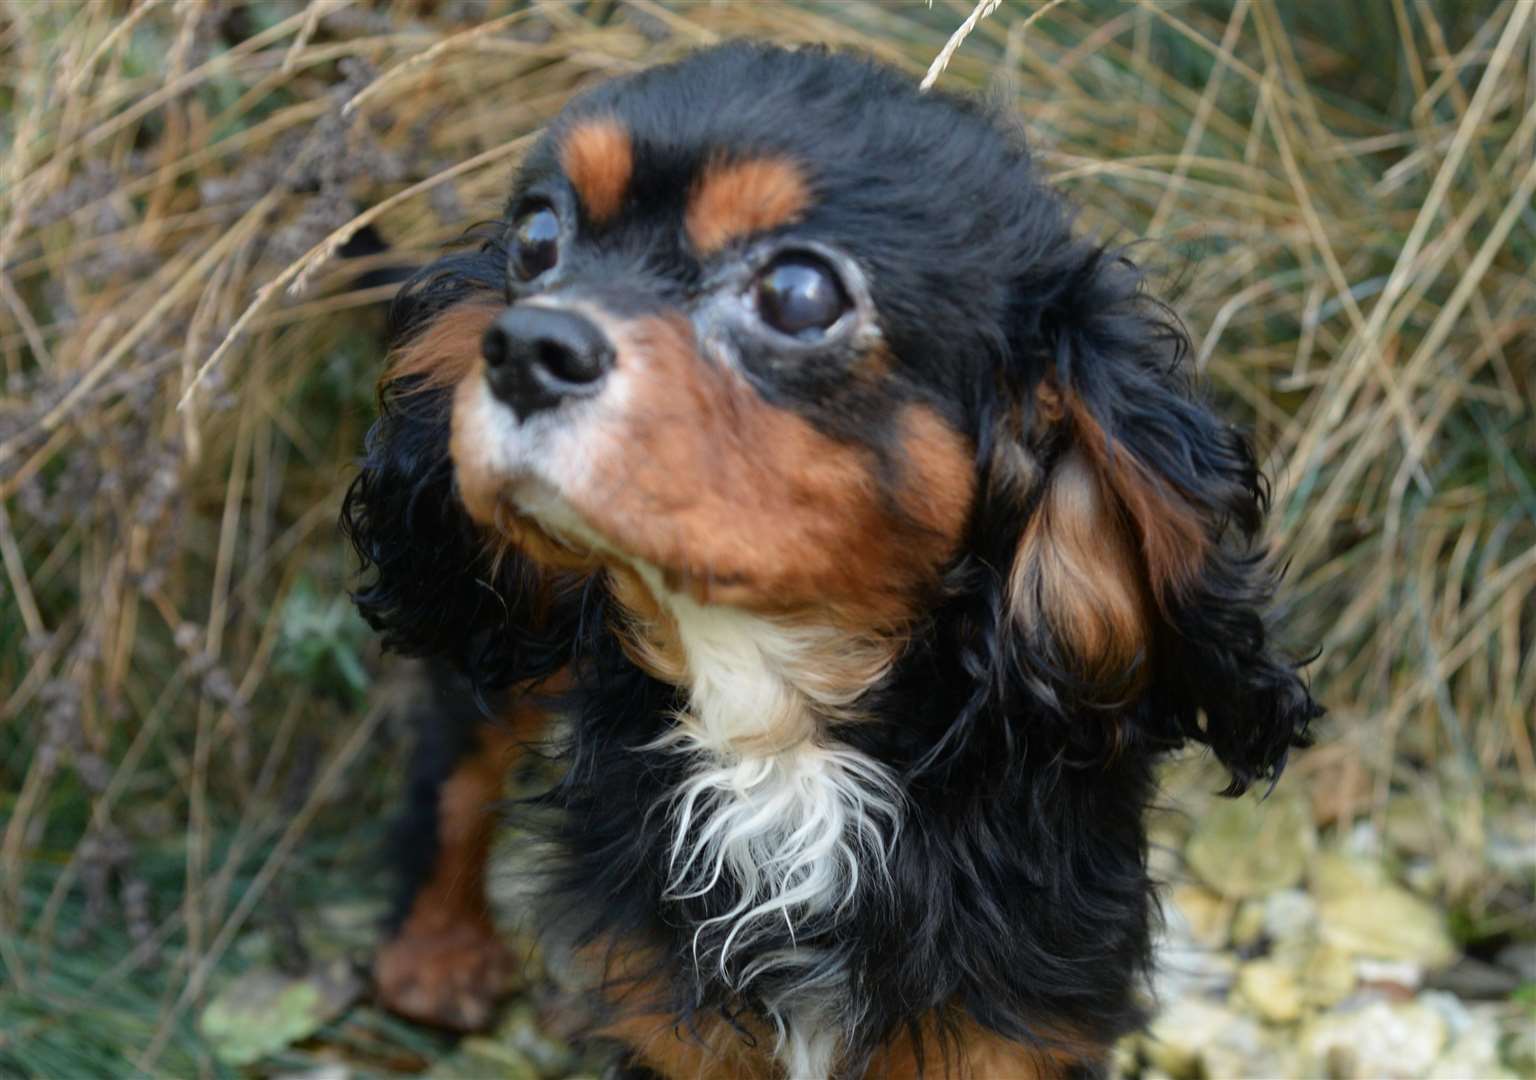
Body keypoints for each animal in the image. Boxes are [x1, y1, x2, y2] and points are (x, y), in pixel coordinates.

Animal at [339, 38, 1320, 1075]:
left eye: (799, 295)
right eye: (535, 239)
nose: (524, 344)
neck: (778, 739)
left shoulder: (1010, 1023)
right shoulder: (671, 1018)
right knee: (458, 758)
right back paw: (436, 951)